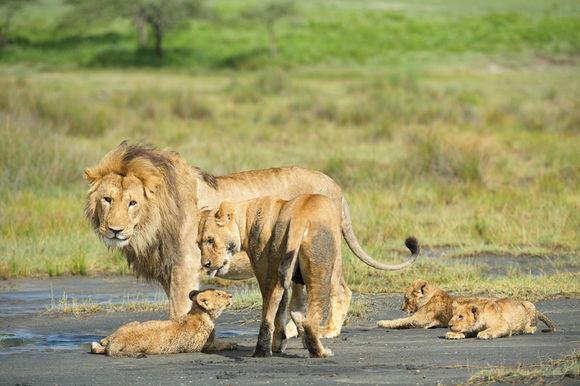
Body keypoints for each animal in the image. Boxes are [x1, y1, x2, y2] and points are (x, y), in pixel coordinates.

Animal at [85, 140, 416, 318]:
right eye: (107, 199)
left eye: (132, 202)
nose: (114, 230)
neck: (149, 226)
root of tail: (332, 182)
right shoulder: (167, 269)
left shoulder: (184, 265)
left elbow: (178, 307)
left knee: (341, 289)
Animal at [91, 288, 236, 358]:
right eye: (219, 294)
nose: (231, 296)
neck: (201, 313)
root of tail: (118, 340)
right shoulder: (199, 346)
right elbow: (217, 344)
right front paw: (231, 344)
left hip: (131, 323)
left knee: (98, 347)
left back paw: (101, 342)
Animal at [197, 196, 420, 358]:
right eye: (199, 243)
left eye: (209, 240)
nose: (205, 264)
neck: (246, 218)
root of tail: (300, 217)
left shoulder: (272, 272)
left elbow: (285, 309)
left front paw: (281, 342)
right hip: (325, 268)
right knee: (317, 313)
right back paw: (320, 351)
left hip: (279, 266)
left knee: (270, 313)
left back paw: (262, 351)